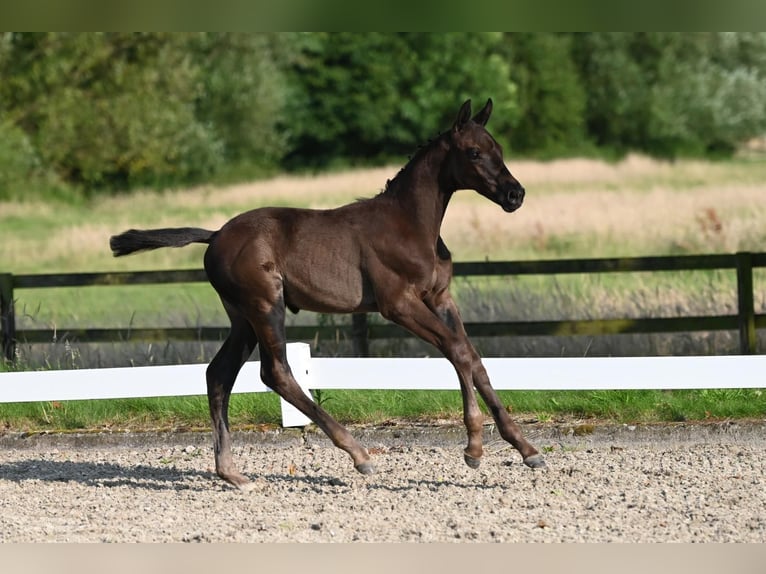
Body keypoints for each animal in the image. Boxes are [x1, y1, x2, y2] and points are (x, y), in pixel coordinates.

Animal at [111, 98, 548, 490]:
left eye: (499, 149)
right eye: (474, 152)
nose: (516, 195)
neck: (409, 225)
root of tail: (215, 234)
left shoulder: (441, 299)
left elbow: (472, 357)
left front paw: (526, 449)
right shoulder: (398, 305)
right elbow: (456, 351)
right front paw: (473, 448)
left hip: (242, 319)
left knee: (219, 375)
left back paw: (232, 473)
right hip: (266, 305)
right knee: (275, 372)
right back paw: (358, 454)